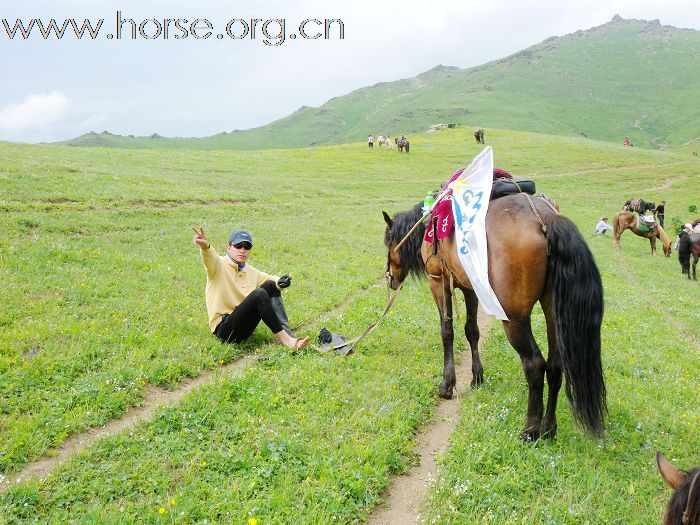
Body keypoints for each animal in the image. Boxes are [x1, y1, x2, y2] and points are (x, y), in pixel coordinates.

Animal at [382, 192, 608, 438]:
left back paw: (531, 429)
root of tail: (545, 220)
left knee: (535, 365)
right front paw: (477, 377)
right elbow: (472, 331)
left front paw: (447, 384)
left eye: (388, 242)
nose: (390, 276)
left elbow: (447, 332)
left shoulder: (438, 281)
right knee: (555, 365)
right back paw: (548, 428)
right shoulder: (470, 287)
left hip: (514, 318)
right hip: (553, 313)